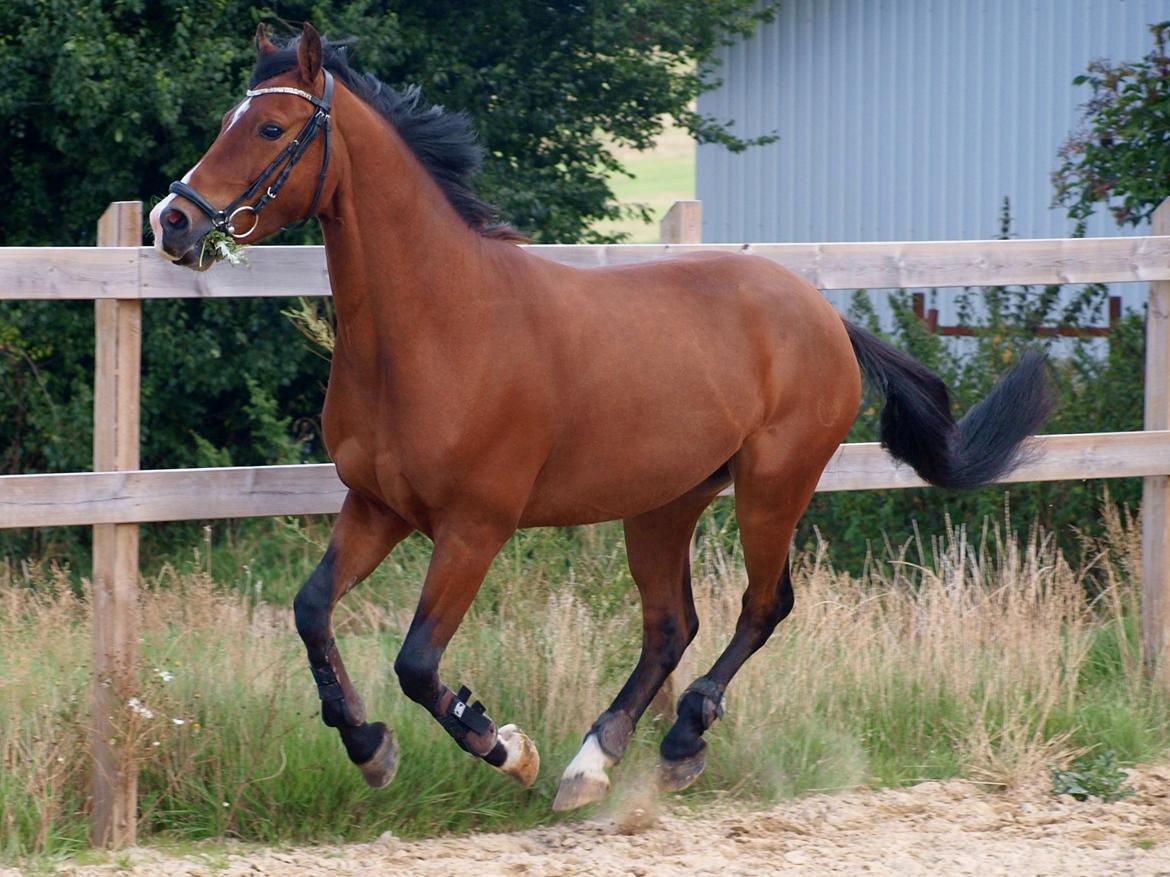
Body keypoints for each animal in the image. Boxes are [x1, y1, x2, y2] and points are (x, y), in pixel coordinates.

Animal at [150, 22, 1057, 818]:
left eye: (270, 126)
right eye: (228, 120)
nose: (174, 220)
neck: (440, 324)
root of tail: (826, 316)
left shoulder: (474, 527)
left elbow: (417, 662)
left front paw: (504, 745)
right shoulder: (377, 507)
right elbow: (311, 609)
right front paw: (369, 746)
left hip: (773, 487)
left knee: (762, 607)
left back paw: (677, 741)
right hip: (665, 503)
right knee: (671, 624)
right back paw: (594, 761)